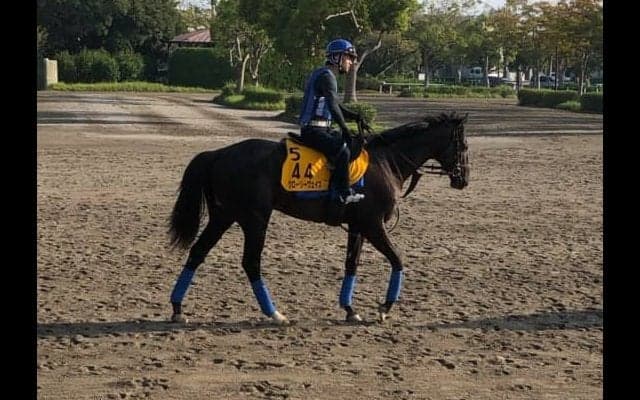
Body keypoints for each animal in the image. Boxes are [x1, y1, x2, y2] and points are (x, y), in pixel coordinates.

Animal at [168, 112, 470, 325]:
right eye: (463, 145)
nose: (464, 179)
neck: (386, 161)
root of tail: (219, 154)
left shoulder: (358, 227)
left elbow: (352, 264)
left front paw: (350, 309)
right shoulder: (373, 226)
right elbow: (397, 260)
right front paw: (384, 308)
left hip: (224, 216)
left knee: (198, 252)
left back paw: (178, 309)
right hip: (255, 219)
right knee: (251, 262)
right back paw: (274, 314)